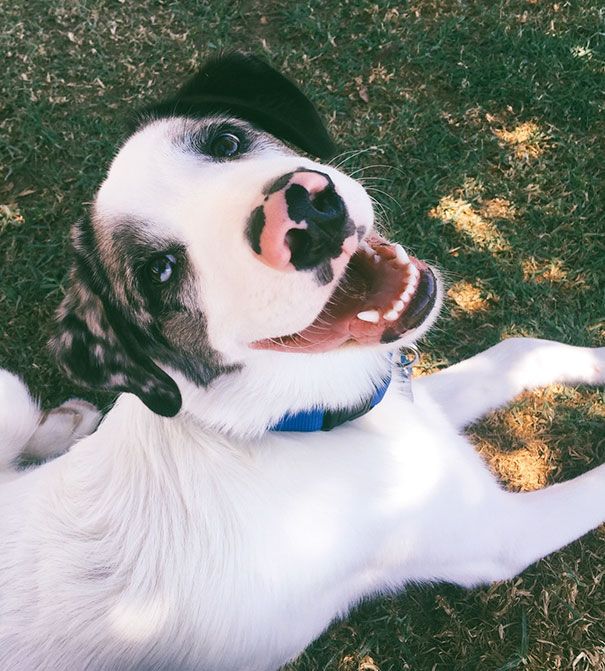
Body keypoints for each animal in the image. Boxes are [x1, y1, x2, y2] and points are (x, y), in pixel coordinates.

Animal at [1, 53, 604, 671]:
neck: (287, 425)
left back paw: (68, 421)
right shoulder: (497, 535)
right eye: (159, 271)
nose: (305, 215)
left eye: (225, 141)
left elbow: (519, 348)